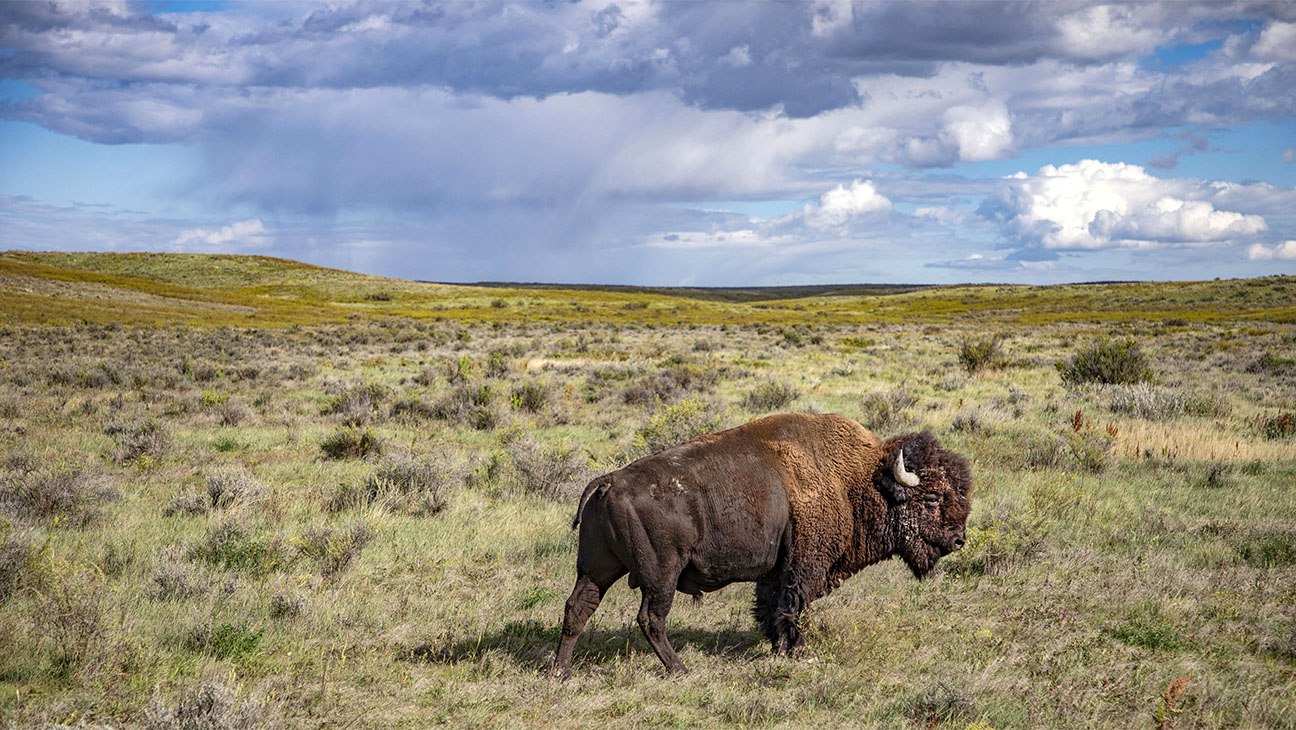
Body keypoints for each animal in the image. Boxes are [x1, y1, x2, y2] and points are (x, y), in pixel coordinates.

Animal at [549, 414, 974, 679]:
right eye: (933, 497)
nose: (958, 540)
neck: (857, 480)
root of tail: (608, 481)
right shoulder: (803, 567)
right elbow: (791, 608)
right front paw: (798, 651)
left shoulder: (775, 570)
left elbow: (770, 607)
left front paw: (778, 649)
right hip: (660, 575)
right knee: (650, 619)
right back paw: (680, 670)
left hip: (598, 569)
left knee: (577, 608)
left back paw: (561, 673)